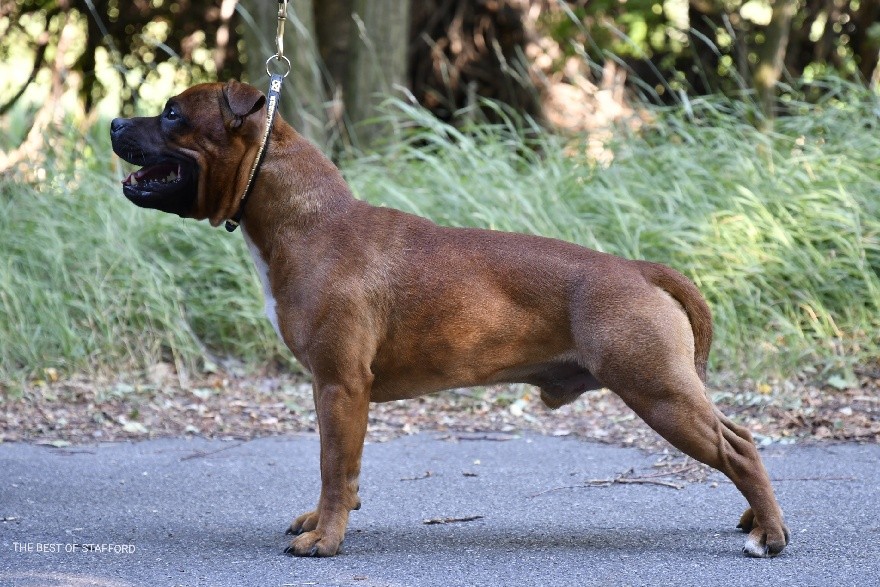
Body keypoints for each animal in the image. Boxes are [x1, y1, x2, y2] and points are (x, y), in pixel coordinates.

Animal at [110, 80, 792, 560]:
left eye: (172, 115)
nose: (114, 121)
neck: (303, 218)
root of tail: (641, 269)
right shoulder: (333, 390)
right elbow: (339, 468)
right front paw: (325, 519)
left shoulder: (340, 384)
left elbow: (333, 465)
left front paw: (324, 541)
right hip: (669, 388)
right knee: (740, 436)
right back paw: (755, 521)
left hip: (657, 391)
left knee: (739, 449)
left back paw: (769, 536)